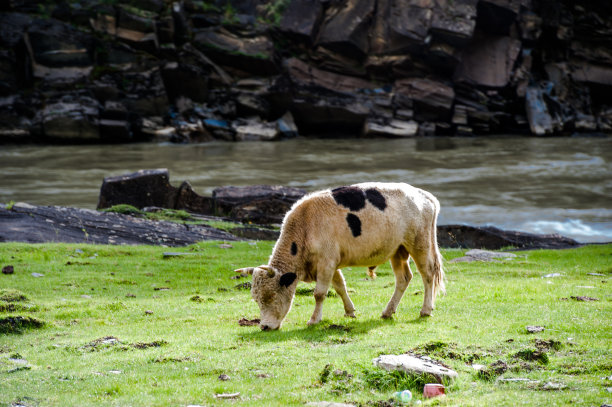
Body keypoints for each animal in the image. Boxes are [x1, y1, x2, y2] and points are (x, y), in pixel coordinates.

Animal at [235, 183, 444, 334]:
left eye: (271, 296)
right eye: (256, 298)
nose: (264, 326)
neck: (305, 228)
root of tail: (426, 196)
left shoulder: (326, 263)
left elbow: (319, 293)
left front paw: (314, 320)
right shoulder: (331, 263)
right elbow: (340, 286)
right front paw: (350, 311)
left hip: (419, 244)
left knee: (428, 274)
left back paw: (426, 310)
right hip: (397, 250)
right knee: (404, 278)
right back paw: (387, 312)